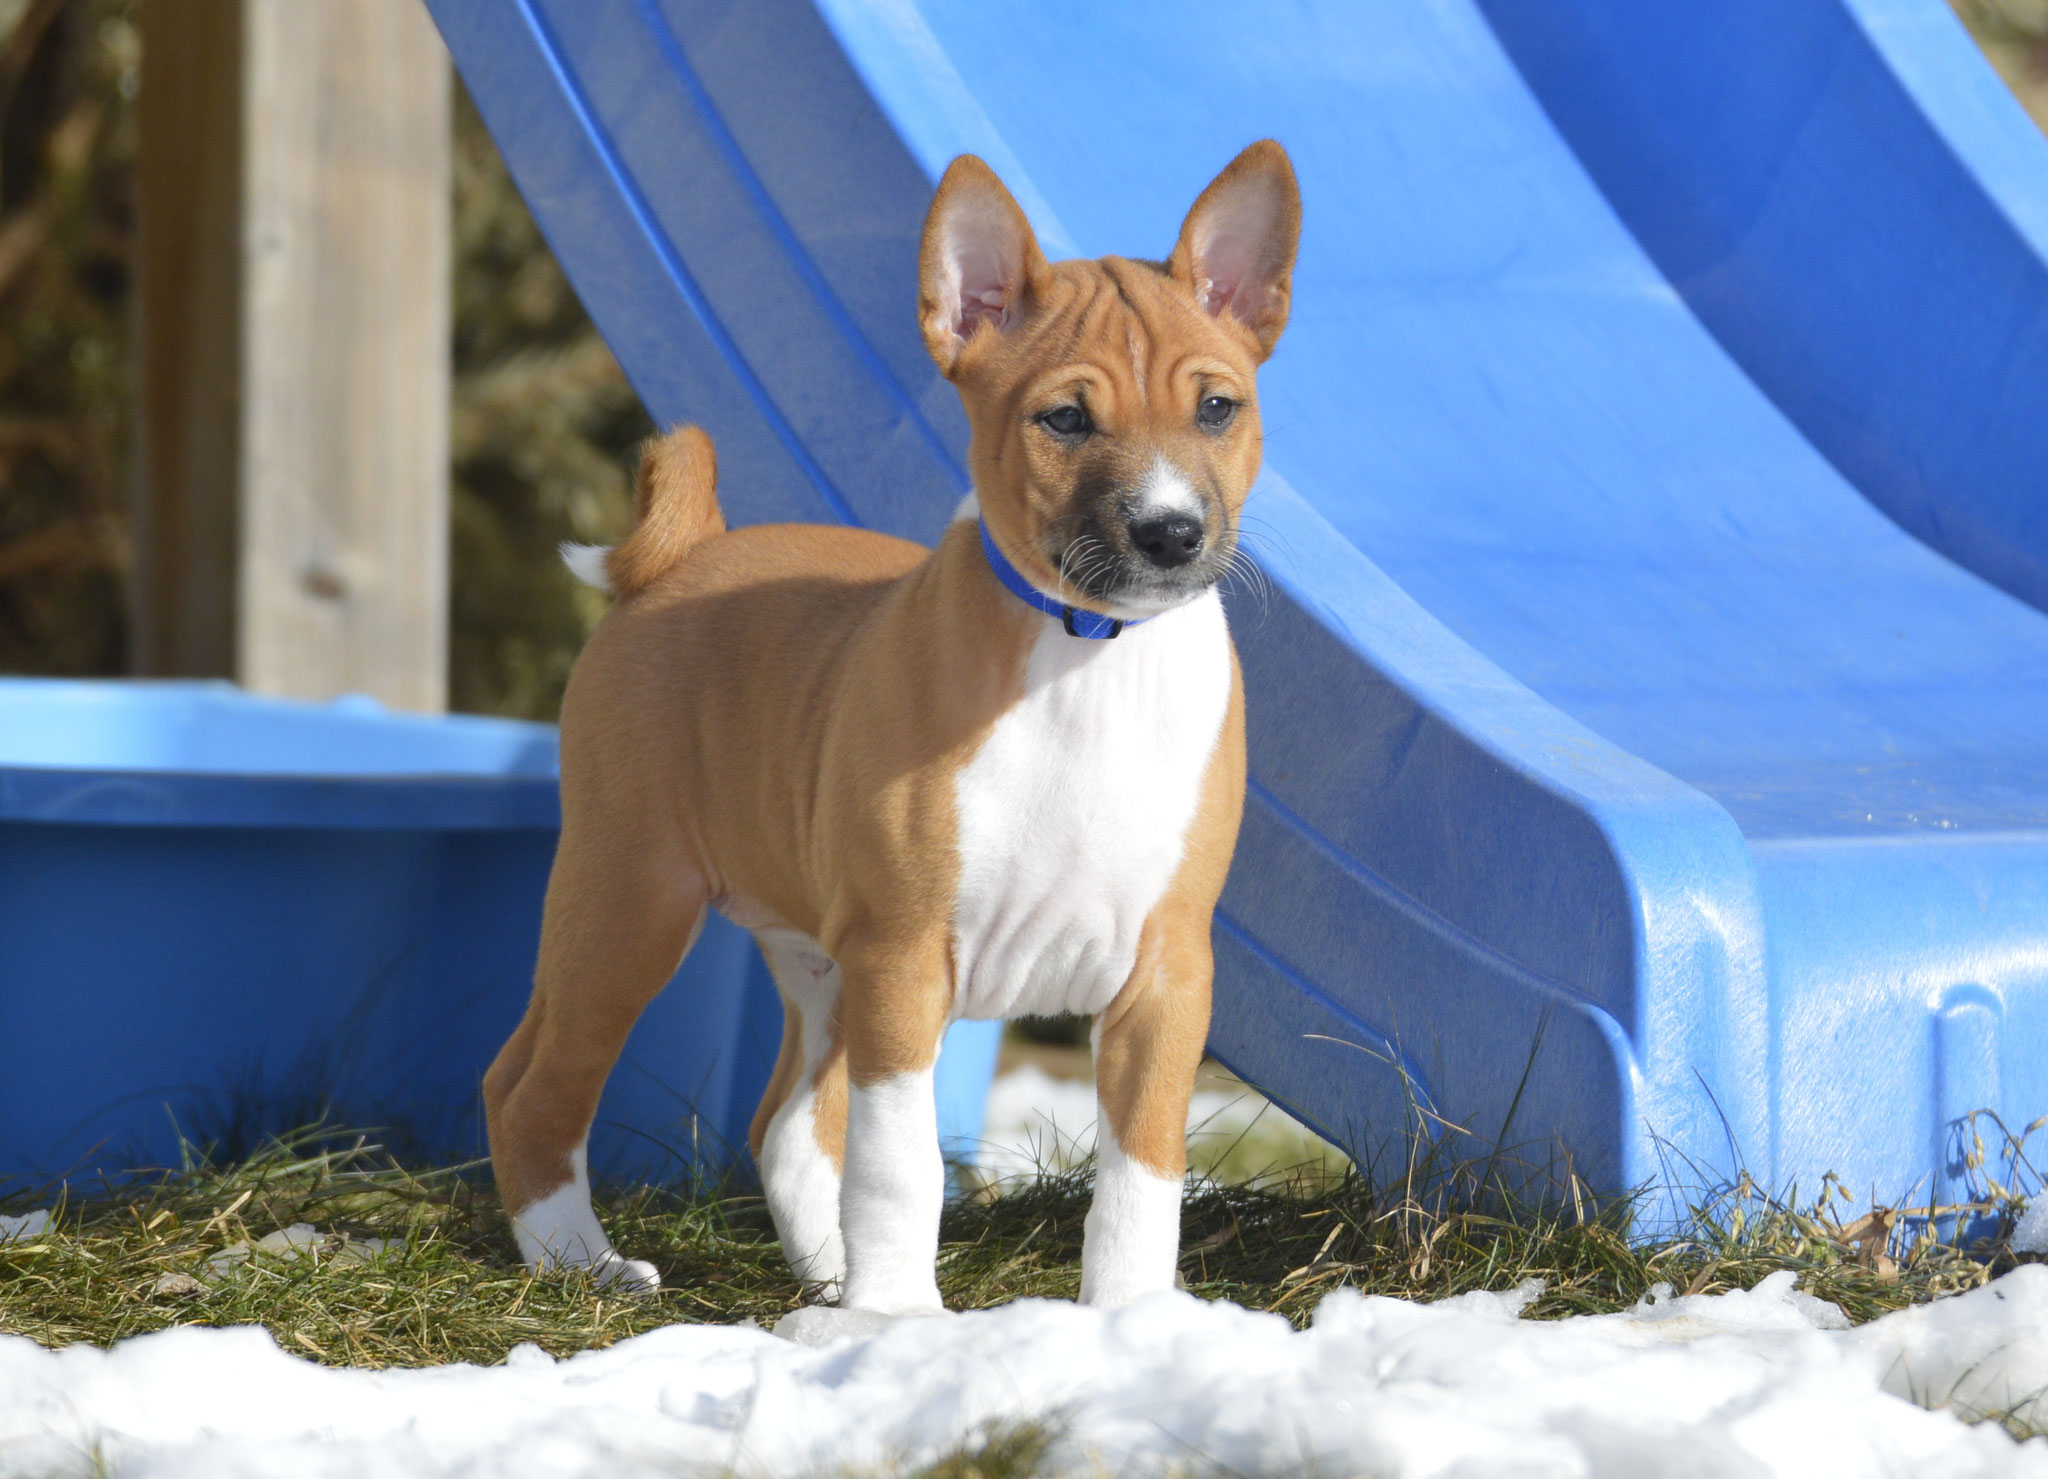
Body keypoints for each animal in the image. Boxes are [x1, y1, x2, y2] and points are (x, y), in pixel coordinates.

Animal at [487, 144, 1302, 1311]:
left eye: (1217, 409)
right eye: (1065, 420)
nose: (1170, 532)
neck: (1089, 664)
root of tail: (685, 554)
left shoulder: (1165, 974)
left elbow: (1143, 1175)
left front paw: (1131, 1317)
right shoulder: (906, 958)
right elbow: (898, 1163)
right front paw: (899, 1318)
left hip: (815, 960)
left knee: (782, 1124)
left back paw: (825, 1276)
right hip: (627, 900)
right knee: (530, 1085)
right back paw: (578, 1262)